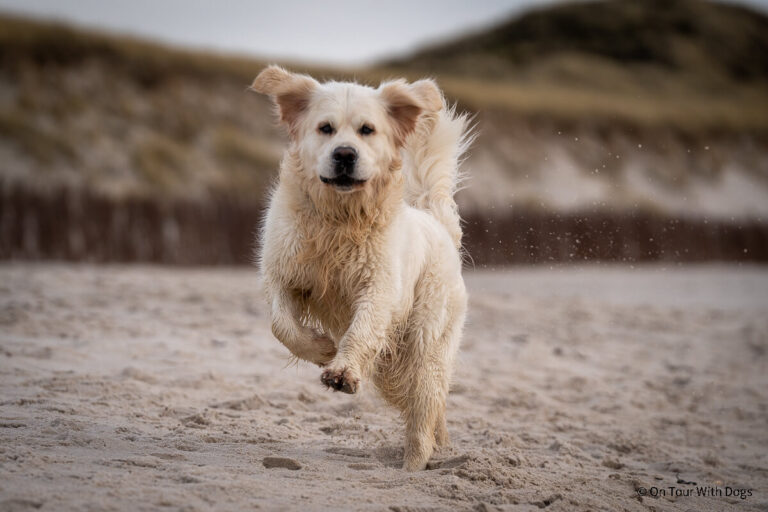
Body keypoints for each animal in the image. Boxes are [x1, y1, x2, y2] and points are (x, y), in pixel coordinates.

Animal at [252, 66, 472, 470]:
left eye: (367, 130)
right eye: (325, 128)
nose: (344, 154)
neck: (338, 219)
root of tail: (438, 225)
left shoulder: (378, 289)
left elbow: (361, 330)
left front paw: (342, 371)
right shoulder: (282, 273)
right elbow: (281, 325)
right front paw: (322, 348)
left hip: (425, 345)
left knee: (424, 406)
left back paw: (413, 465)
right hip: (395, 369)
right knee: (428, 406)